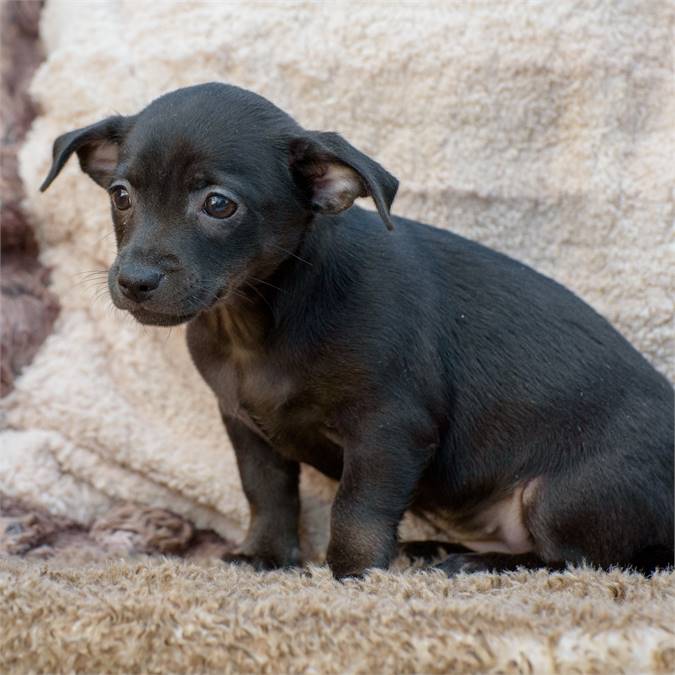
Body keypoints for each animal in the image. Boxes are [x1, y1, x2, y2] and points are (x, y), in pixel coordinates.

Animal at [43, 82, 675, 580]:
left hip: (561, 495)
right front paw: (264, 557)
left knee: (578, 560)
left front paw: (352, 575)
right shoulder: (246, 426)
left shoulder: (388, 431)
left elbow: (357, 509)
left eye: (219, 205)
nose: (134, 281)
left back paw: (473, 563)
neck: (257, 324)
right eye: (121, 195)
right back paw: (432, 547)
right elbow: (266, 494)